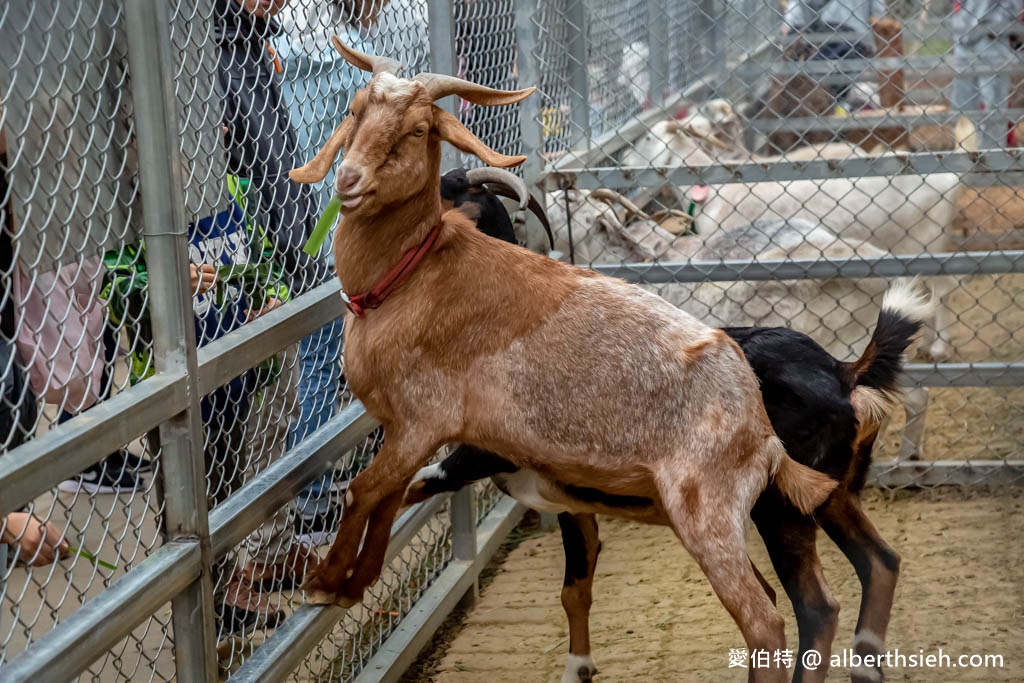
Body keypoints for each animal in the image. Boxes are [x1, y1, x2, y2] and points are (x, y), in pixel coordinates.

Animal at [292, 38, 835, 683]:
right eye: (355, 110)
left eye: (420, 127)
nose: (349, 180)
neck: (413, 278)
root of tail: (759, 425)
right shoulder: (414, 433)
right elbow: (385, 497)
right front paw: (356, 582)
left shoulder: (427, 420)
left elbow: (364, 490)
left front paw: (325, 583)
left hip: (709, 512)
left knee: (765, 620)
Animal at [403, 282, 933, 683]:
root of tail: (844, 374)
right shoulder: (575, 508)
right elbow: (574, 590)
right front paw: (578, 669)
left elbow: (432, 475)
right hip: (829, 494)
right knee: (879, 561)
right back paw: (865, 669)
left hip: (780, 508)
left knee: (814, 607)